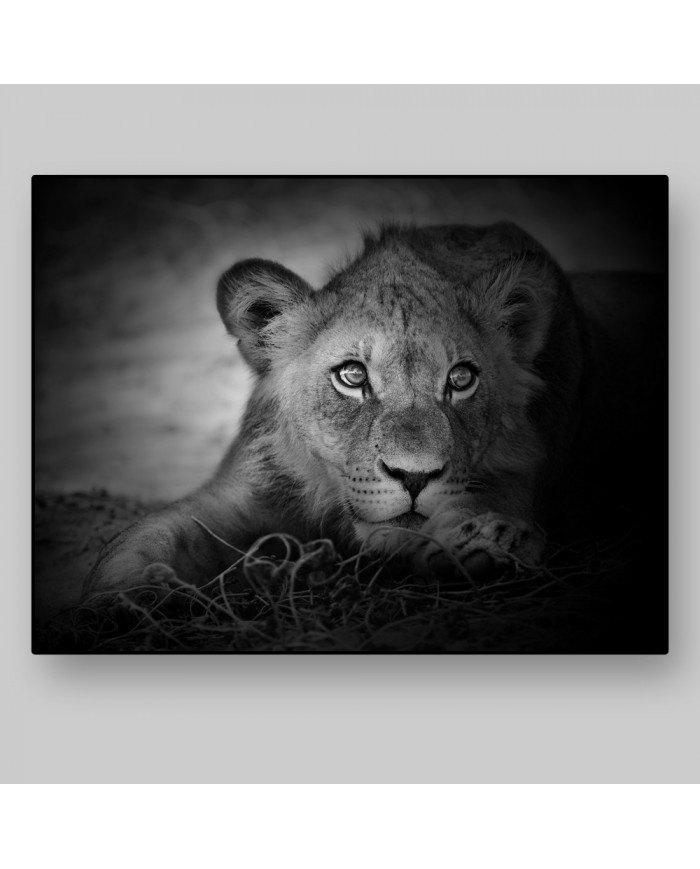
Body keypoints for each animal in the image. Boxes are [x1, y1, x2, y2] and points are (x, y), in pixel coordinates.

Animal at [83, 221, 666, 597]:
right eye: (352, 376)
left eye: (461, 379)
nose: (415, 477)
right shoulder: (240, 492)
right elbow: (150, 534)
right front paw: (128, 595)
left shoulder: (515, 477)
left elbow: (473, 511)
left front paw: (487, 545)